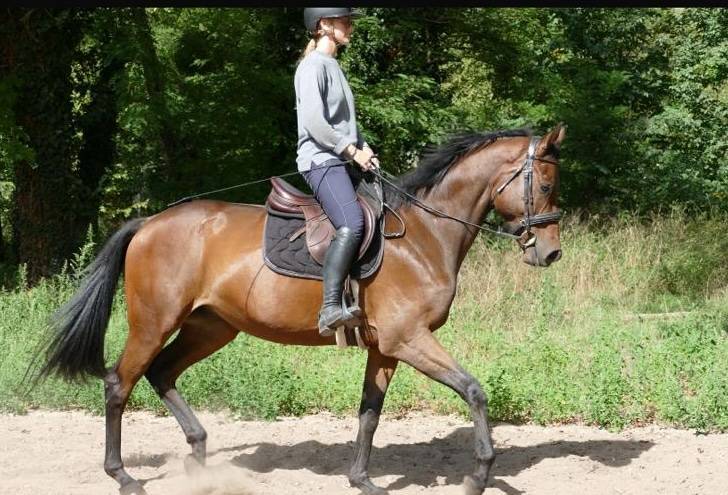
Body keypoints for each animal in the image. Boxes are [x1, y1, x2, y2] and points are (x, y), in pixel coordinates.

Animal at [36, 124, 566, 495]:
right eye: (544, 185)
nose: (551, 253)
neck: (423, 235)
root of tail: (149, 223)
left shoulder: (386, 347)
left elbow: (369, 412)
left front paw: (362, 479)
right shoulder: (409, 338)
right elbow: (474, 391)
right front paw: (480, 474)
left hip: (211, 328)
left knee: (161, 373)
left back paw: (199, 458)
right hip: (154, 322)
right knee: (119, 384)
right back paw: (123, 475)